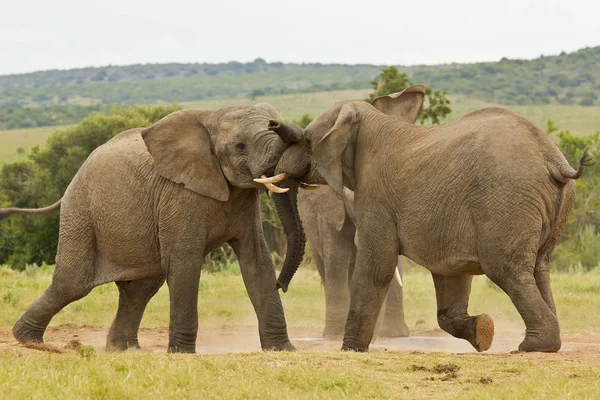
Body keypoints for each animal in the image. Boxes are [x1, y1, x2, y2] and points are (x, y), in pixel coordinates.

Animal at [0, 104, 308, 354]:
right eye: (240, 146)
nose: (282, 285)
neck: (214, 116)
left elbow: (257, 262)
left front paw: (282, 349)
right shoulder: (180, 195)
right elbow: (185, 261)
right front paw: (182, 354)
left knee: (139, 289)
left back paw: (123, 348)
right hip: (81, 214)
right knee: (72, 284)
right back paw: (29, 340)